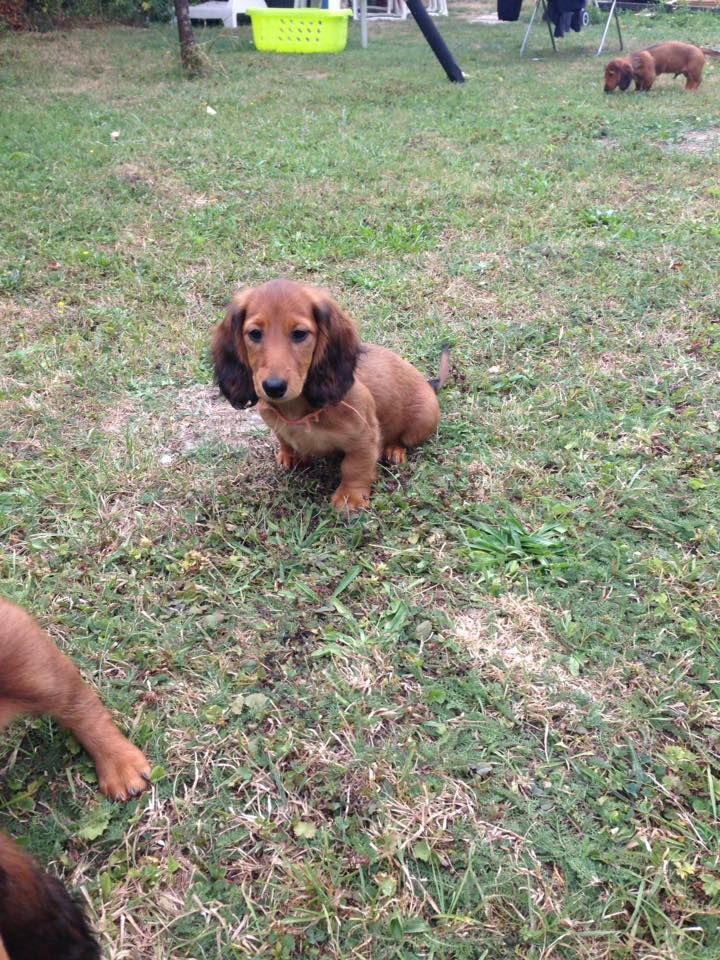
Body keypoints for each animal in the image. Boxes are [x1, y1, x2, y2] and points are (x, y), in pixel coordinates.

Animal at [213, 279, 450, 512]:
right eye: (255, 333)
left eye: (299, 333)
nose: (273, 387)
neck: (298, 410)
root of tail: (429, 385)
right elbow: (284, 439)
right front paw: (288, 455)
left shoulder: (365, 437)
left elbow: (354, 467)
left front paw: (349, 498)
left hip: (421, 423)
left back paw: (394, 450)